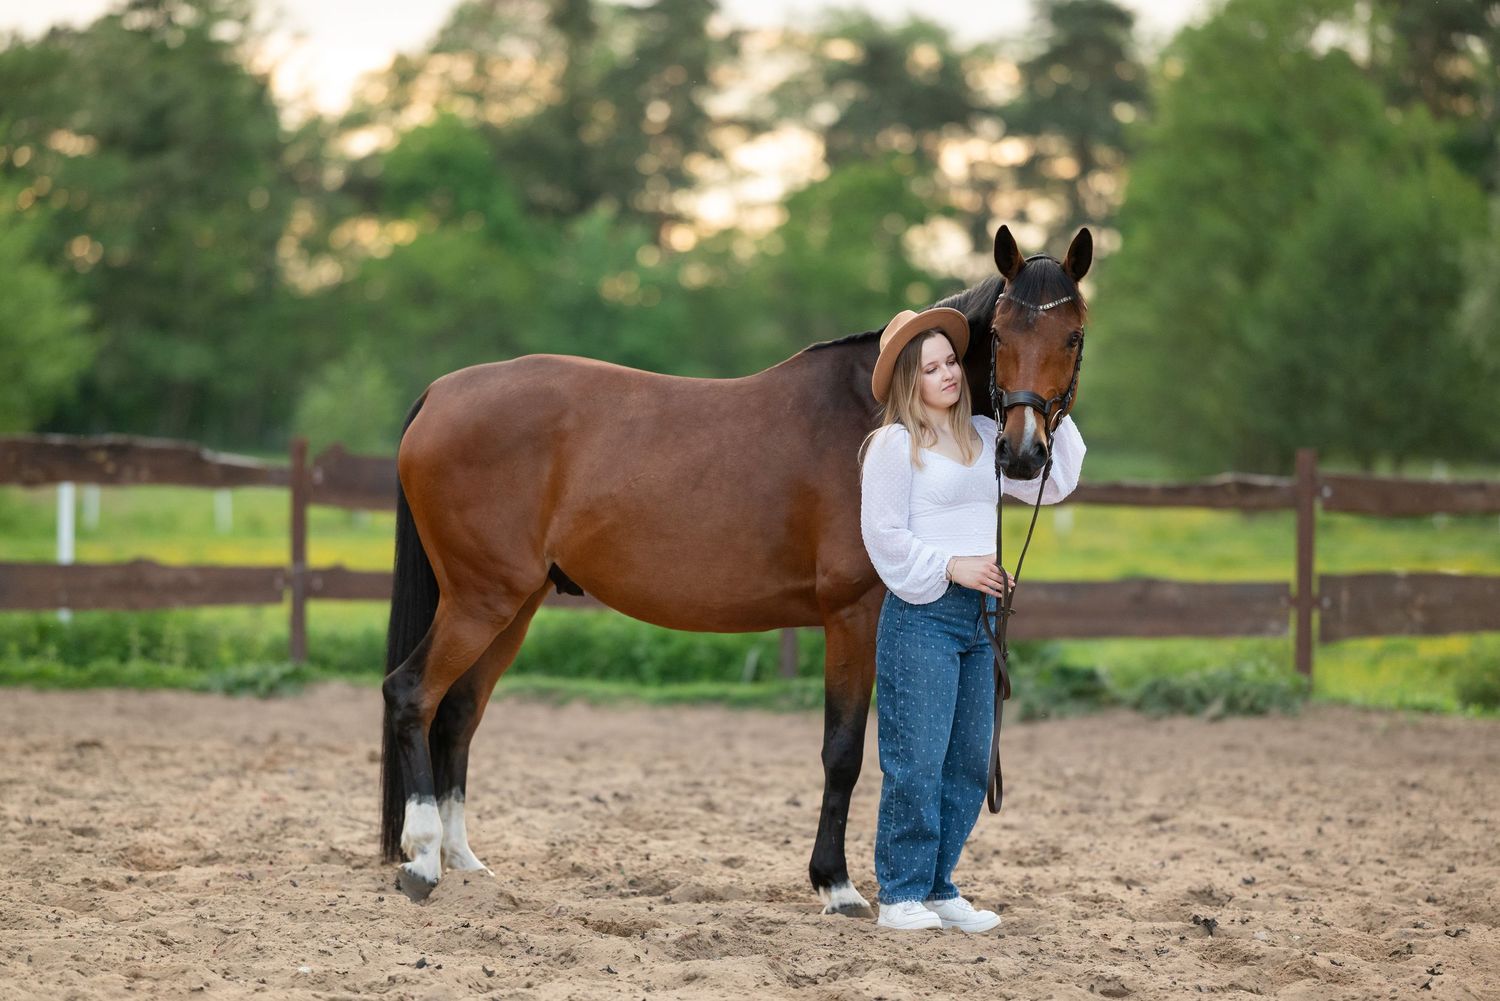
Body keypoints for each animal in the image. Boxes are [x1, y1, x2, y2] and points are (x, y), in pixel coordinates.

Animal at [379, 224, 1093, 910]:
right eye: (1000, 334)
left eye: (1074, 334)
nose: (1023, 454)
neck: (872, 414)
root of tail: (441, 393)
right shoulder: (854, 614)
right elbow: (844, 751)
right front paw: (836, 885)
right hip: (481, 601)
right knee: (411, 695)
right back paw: (423, 859)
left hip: (513, 605)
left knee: (458, 713)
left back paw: (464, 863)